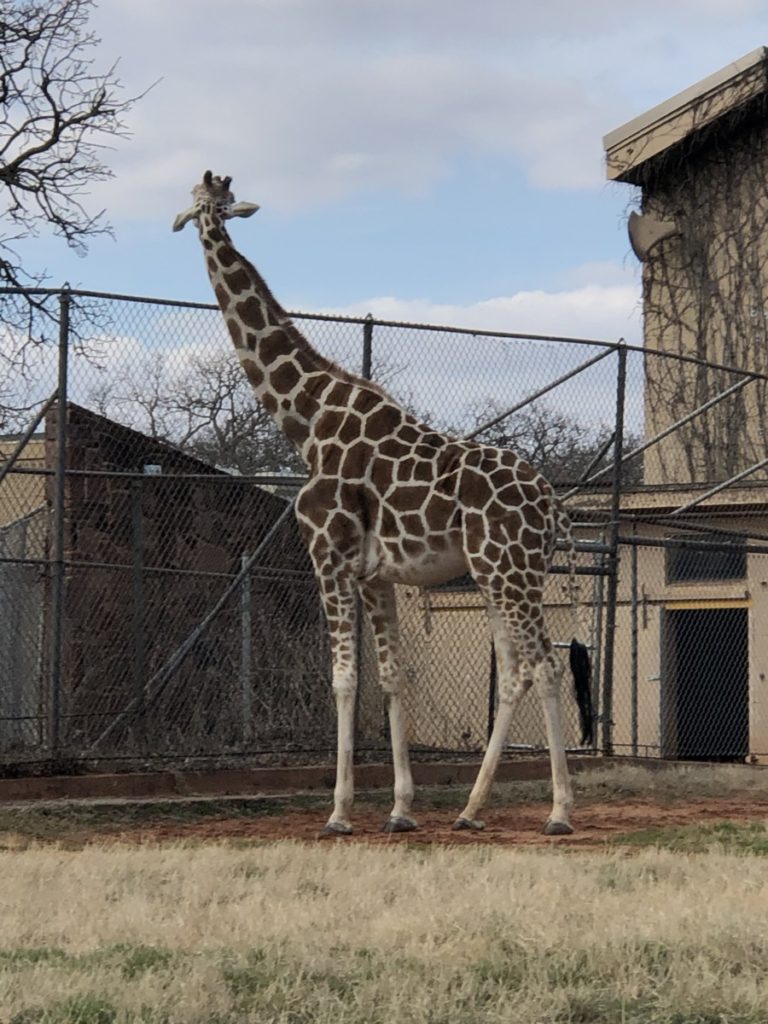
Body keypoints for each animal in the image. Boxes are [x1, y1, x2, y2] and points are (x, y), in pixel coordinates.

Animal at [176, 172, 593, 835]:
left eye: (205, 204)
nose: (197, 222)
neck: (307, 422)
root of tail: (552, 503)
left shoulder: (329, 558)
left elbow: (345, 680)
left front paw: (340, 812)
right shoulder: (376, 574)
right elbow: (395, 677)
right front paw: (400, 808)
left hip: (512, 570)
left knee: (546, 666)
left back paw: (557, 811)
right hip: (497, 574)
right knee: (517, 671)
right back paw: (470, 810)